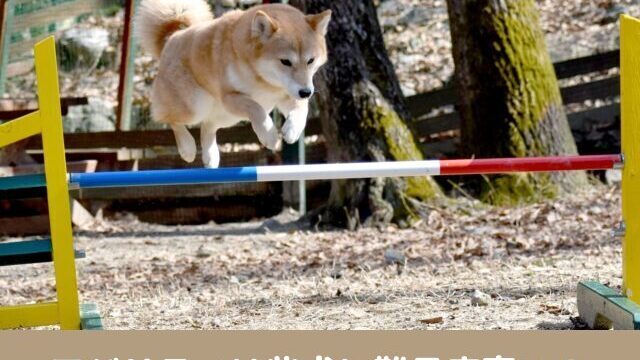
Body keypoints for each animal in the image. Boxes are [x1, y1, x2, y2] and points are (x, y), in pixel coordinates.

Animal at [137, 0, 332, 169]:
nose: (306, 92)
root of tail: (173, 36)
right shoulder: (230, 96)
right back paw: (187, 148)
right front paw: (269, 135)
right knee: (170, 119)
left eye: (311, 60)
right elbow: (256, 109)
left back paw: (210, 156)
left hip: (227, 117)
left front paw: (292, 130)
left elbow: (301, 109)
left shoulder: (286, 93)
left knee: (208, 126)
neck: (264, 80)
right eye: (285, 61)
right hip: (195, 105)